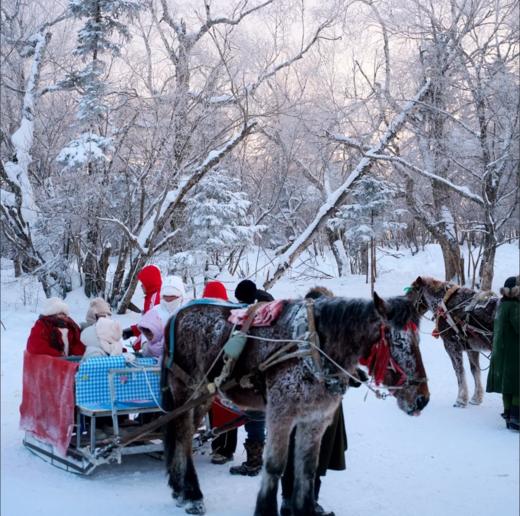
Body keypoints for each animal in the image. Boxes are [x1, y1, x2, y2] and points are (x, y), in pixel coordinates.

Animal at [160, 294, 428, 516]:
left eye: (418, 340)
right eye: (398, 342)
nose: (422, 398)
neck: (314, 348)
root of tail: (177, 314)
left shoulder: (315, 420)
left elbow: (307, 469)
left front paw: (304, 509)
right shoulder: (281, 414)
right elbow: (275, 466)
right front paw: (266, 510)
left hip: (204, 397)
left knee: (184, 437)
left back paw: (179, 489)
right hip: (185, 390)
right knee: (183, 436)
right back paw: (192, 494)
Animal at [410, 276, 496, 410]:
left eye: (411, 293)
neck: (443, 303)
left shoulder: (452, 346)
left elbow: (459, 371)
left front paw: (460, 400)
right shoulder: (472, 349)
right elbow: (474, 370)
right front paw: (476, 398)